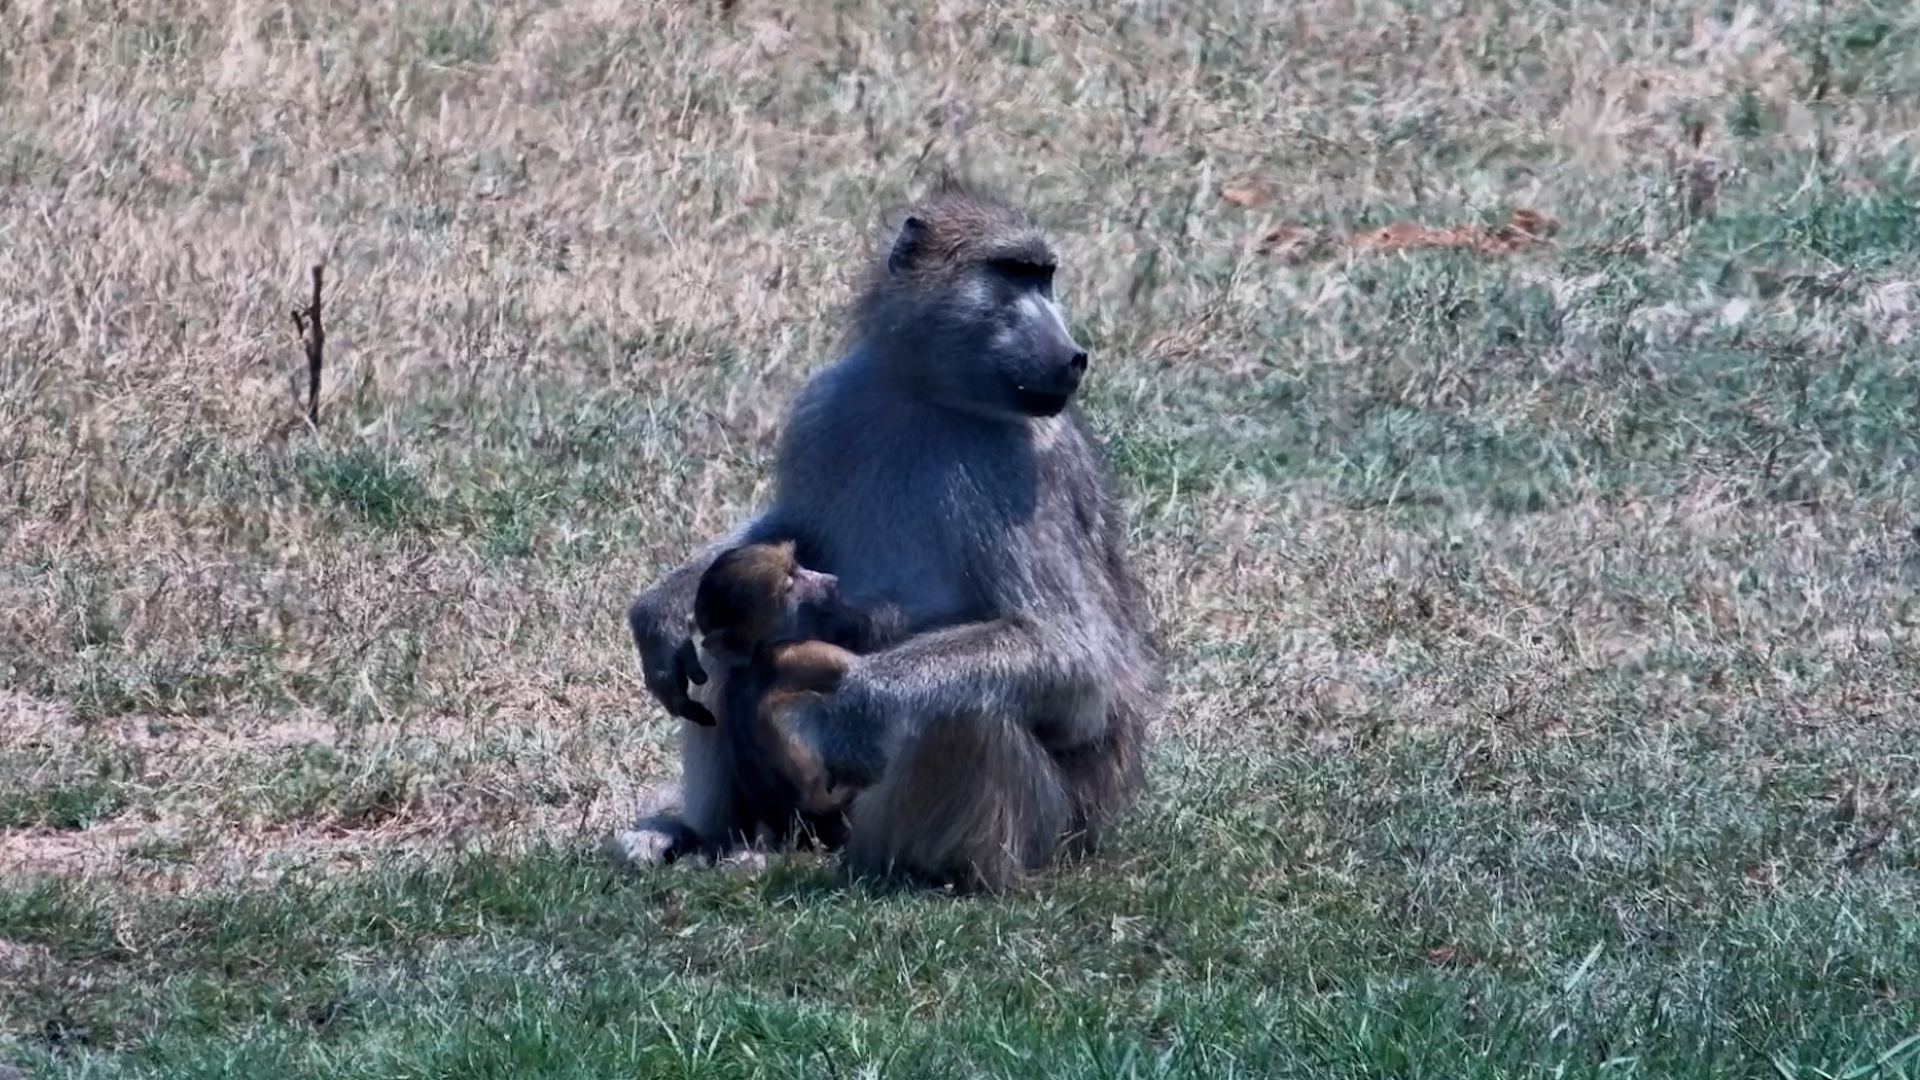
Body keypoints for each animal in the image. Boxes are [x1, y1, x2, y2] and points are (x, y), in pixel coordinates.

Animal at [621, 179, 1163, 893]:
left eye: (1042, 276)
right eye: (1012, 273)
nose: (1072, 356)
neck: (928, 396)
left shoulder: (1028, 470)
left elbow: (1078, 659)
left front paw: (857, 701)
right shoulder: (828, 407)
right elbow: (783, 537)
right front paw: (659, 609)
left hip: (1046, 829)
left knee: (964, 712)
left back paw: (936, 876)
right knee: (727, 637)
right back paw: (712, 839)